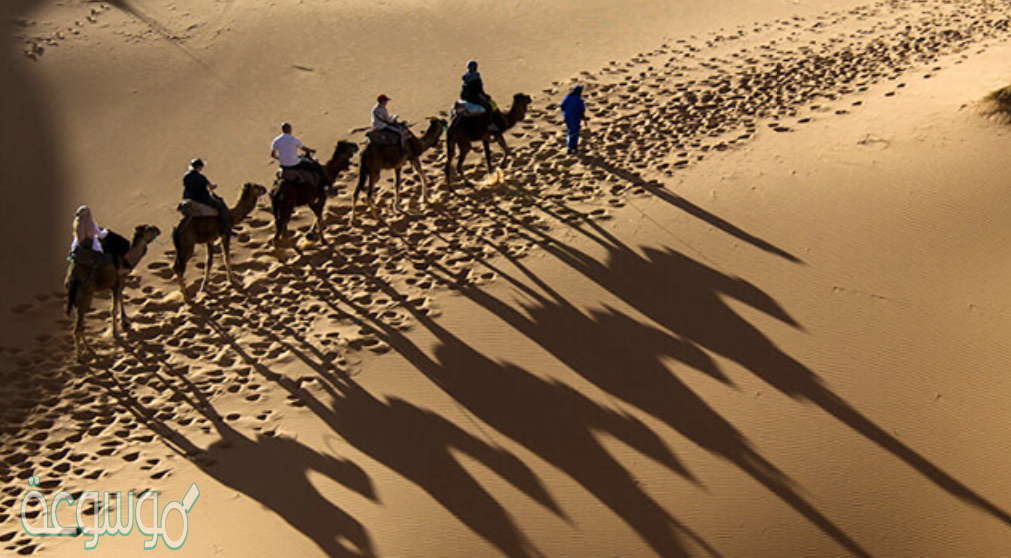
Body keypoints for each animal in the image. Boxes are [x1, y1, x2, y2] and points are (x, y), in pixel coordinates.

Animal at [66, 224, 161, 363]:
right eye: (149, 229)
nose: (158, 229)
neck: (126, 258)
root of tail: (73, 276)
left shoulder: (116, 283)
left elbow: (121, 297)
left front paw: (125, 322)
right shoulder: (119, 280)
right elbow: (114, 308)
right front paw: (116, 333)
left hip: (77, 300)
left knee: (79, 325)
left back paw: (89, 349)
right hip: (85, 295)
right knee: (77, 328)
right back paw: (80, 357)